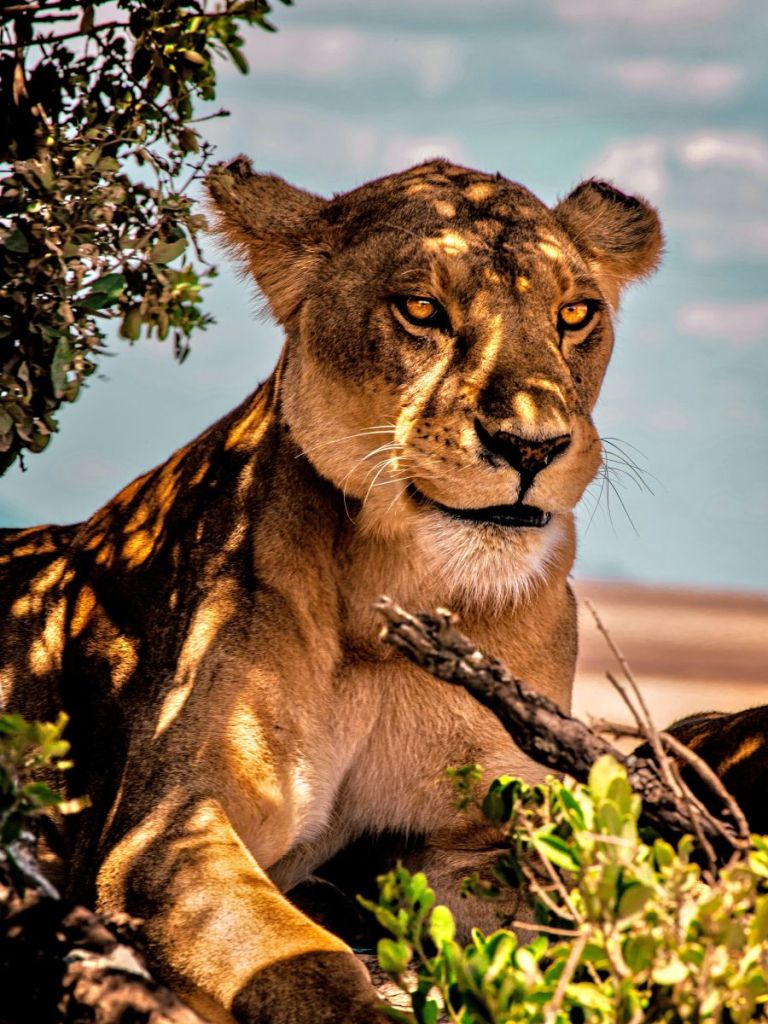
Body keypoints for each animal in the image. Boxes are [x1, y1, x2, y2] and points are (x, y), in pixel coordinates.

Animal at [0, 158, 661, 1022]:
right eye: (421, 309)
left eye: (576, 313)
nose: (531, 446)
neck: (391, 589)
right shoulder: (167, 833)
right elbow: (306, 964)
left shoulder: (502, 814)